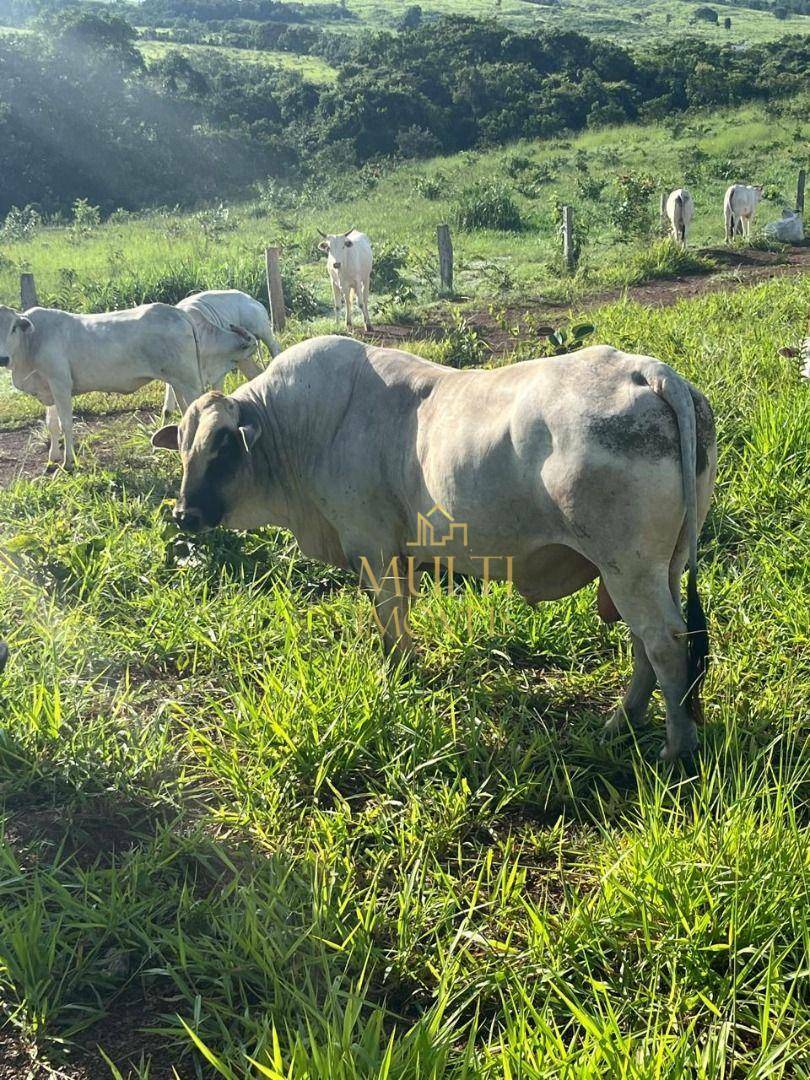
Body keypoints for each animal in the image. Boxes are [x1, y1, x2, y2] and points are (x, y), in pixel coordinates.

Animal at [0, 304, 257, 473]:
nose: (2, 358)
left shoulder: (60, 384)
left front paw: (68, 461)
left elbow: (65, 425)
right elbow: (52, 425)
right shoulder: (48, 390)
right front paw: (52, 459)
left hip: (188, 382)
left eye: (13, 327)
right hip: (178, 383)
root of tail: (180, 314)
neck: (32, 341)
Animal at [152, 334, 717, 760]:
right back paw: (622, 722)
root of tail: (644, 370)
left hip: (629, 570)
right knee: (648, 644)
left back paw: (676, 747)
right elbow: (401, 614)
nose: (184, 514)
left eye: (222, 444)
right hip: (655, 569)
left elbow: (389, 619)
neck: (300, 427)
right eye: (182, 446)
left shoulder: (372, 549)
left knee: (664, 645)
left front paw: (398, 673)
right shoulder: (400, 556)